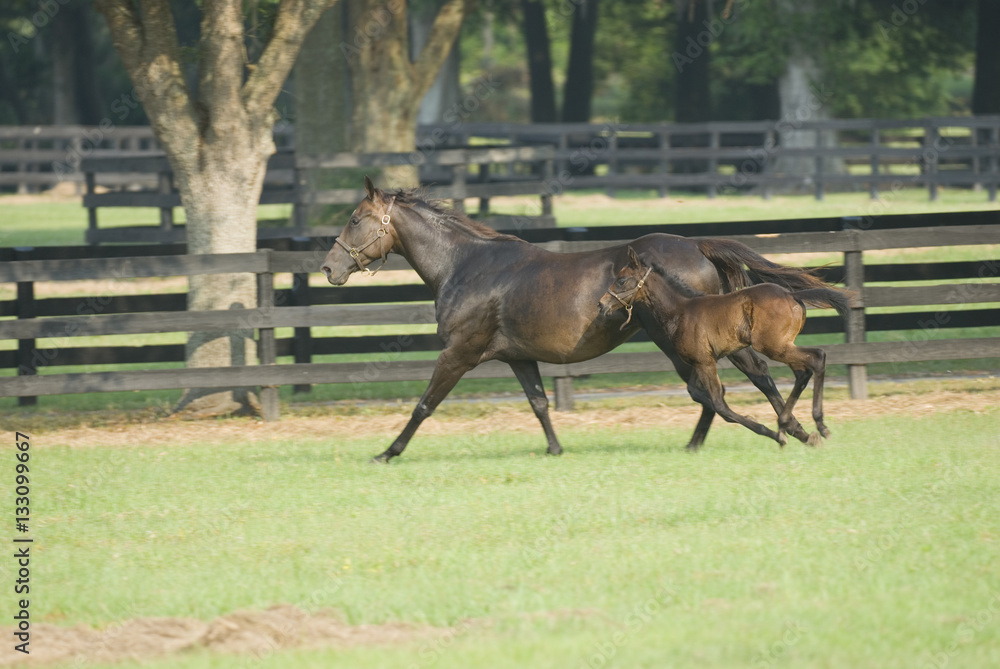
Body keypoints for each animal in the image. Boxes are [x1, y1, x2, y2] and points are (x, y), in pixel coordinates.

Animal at [599, 246, 853, 446]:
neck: (681, 311)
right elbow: (696, 393)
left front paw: (774, 435)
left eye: (621, 280)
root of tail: (792, 296)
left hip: (772, 346)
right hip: (783, 345)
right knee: (803, 372)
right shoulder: (698, 362)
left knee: (817, 357)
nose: (601, 305)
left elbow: (720, 405)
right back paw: (789, 424)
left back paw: (817, 426)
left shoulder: (705, 362)